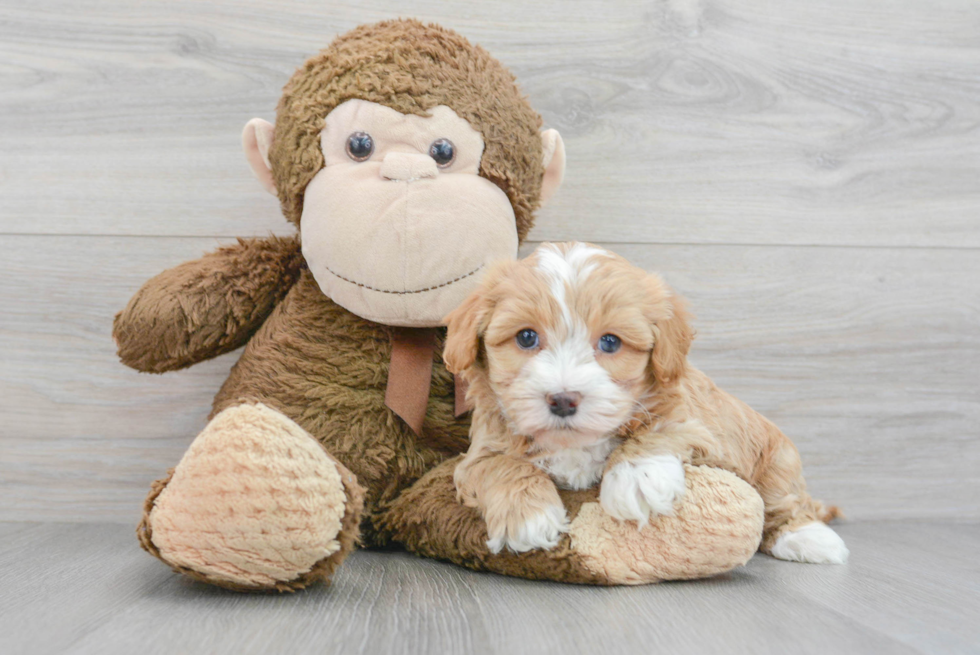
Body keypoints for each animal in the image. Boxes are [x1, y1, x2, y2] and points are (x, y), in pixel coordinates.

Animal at [444, 241, 848, 564]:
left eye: (610, 342)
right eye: (526, 337)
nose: (563, 400)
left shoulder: (699, 425)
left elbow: (662, 426)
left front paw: (637, 477)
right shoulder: (478, 451)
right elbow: (497, 465)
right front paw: (529, 516)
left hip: (778, 461)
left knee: (785, 505)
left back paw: (811, 539)